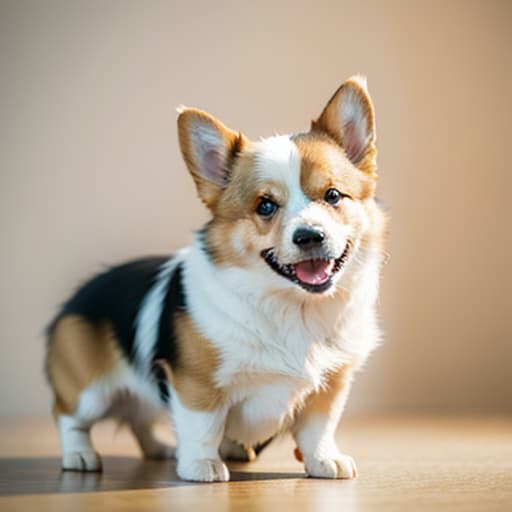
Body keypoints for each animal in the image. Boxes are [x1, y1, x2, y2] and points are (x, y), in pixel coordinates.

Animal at [46, 76, 386, 480]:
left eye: (333, 195)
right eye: (265, 206)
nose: (309, 236)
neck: (292, 306)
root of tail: (76, 296)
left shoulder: (331, 384)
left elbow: (319, 427)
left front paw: (323, 459)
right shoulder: (195, 382)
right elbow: (202, 424)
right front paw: (201, 464)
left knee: (139, 419)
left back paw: (160, 449)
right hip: (90, 392)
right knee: (68, 416)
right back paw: (79, 455)